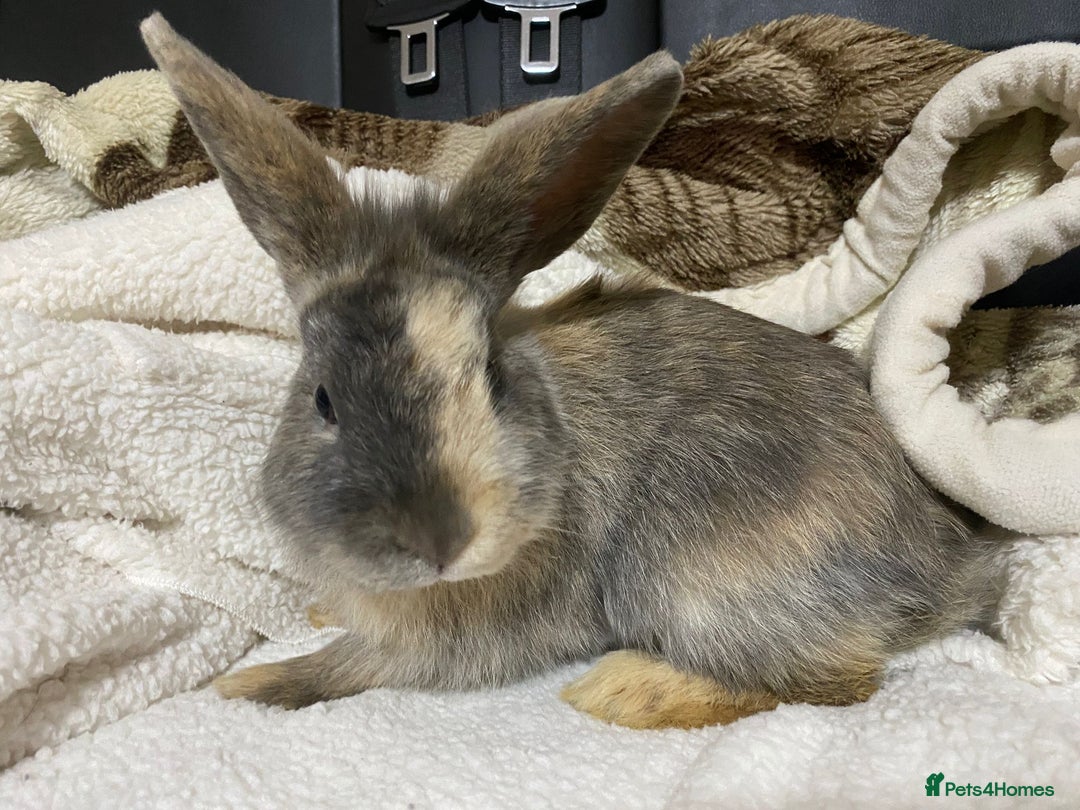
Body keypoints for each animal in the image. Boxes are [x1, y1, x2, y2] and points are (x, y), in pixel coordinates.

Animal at [142, 13, 998, 729]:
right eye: (323, 400)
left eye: (490, 378)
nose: (440, 538)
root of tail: (952, 567)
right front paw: (319, 614)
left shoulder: (457, 639)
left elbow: (357, 664)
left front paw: (250, 685)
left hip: (695, 579)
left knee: (831, 681)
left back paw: (622, 689)